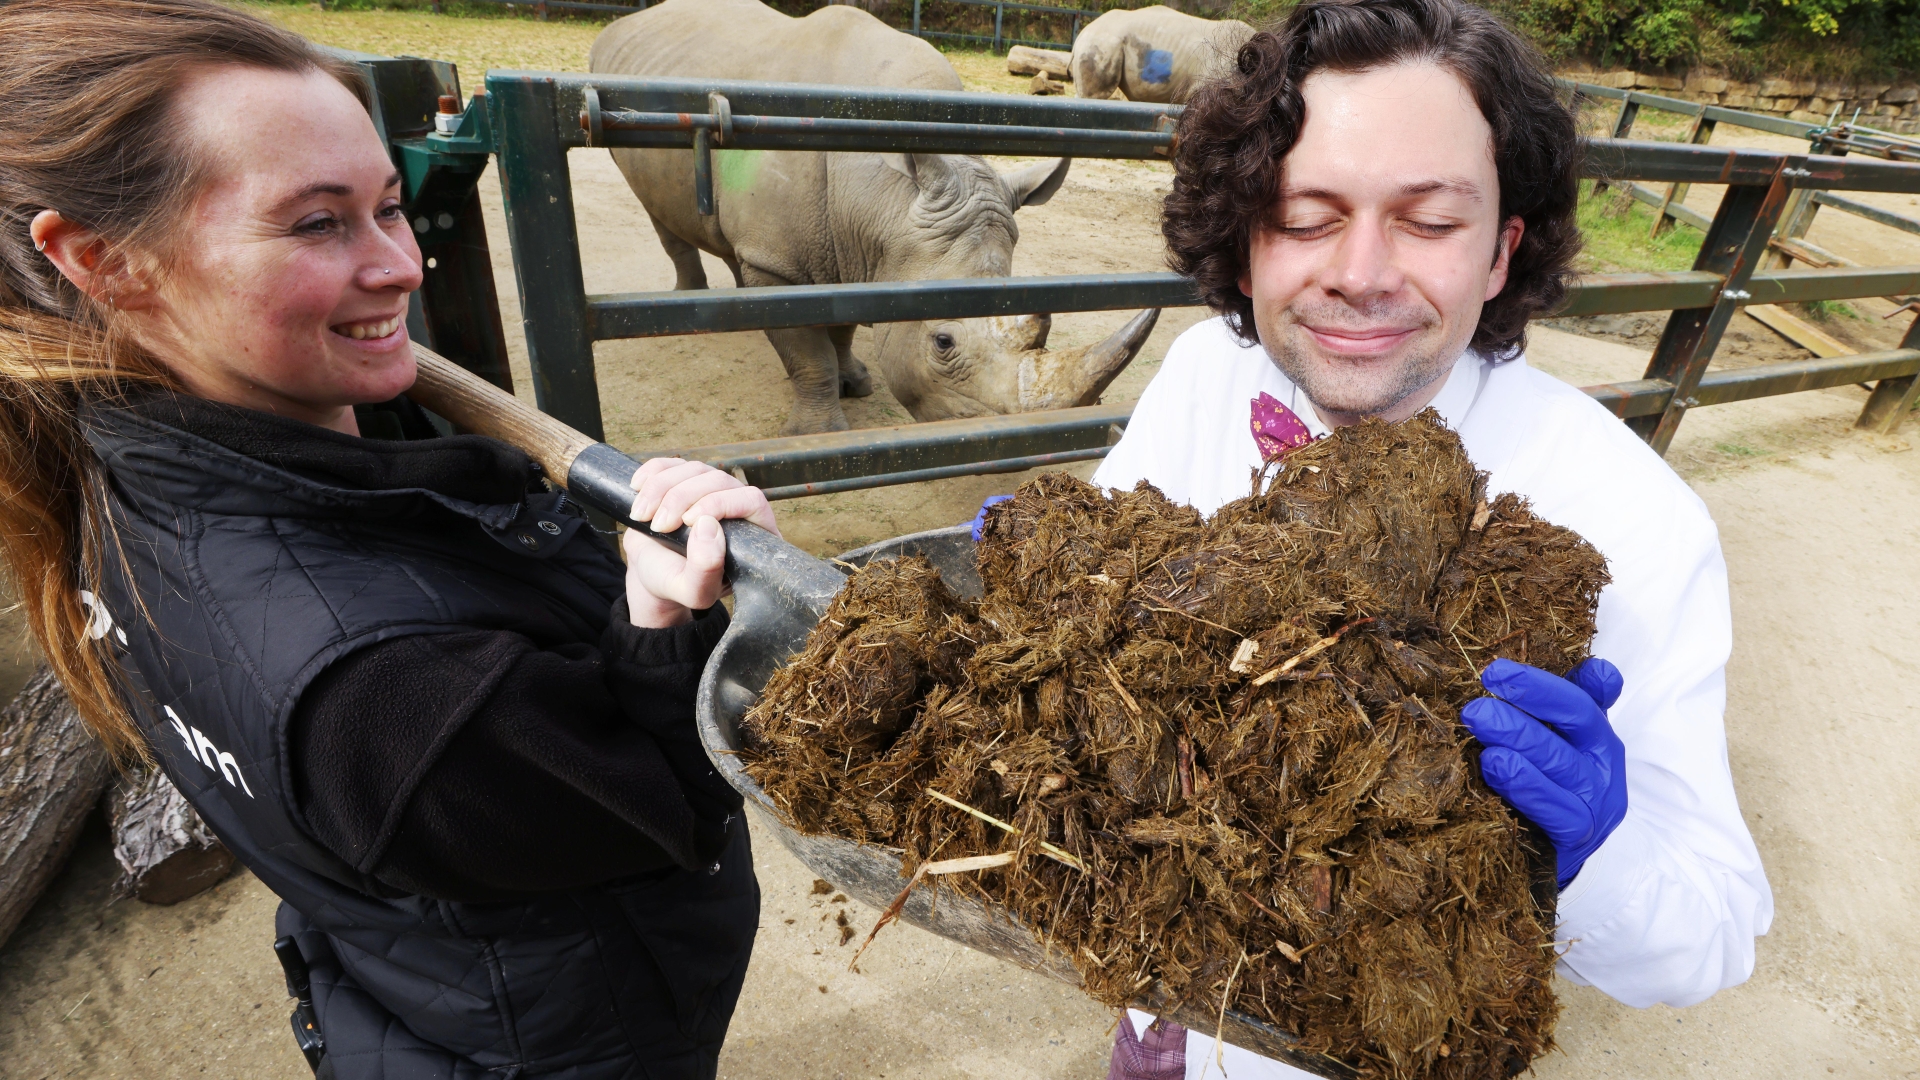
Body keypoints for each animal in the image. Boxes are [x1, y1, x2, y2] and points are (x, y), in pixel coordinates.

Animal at [587, 0, 1152, 432]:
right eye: (943, 342)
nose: (1014, 443)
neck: (884, 203)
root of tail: (626, 24)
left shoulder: (861, 251)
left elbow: (840, 326)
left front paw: (854, 384)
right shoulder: (822, 253)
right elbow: (807, 350)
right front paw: (818, 432)